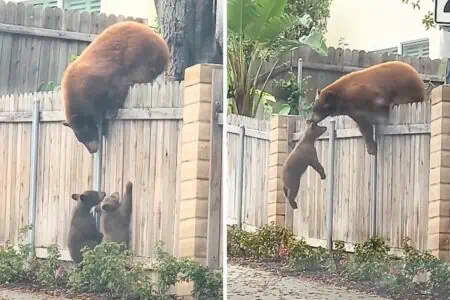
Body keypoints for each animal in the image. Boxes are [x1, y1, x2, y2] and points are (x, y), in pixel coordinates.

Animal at [60, 21, 170, 154]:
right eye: (80, 140)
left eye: (88, 133)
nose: (93, 150)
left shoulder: (99, 78)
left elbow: (117, 86)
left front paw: (111, 112)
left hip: (142, 56)